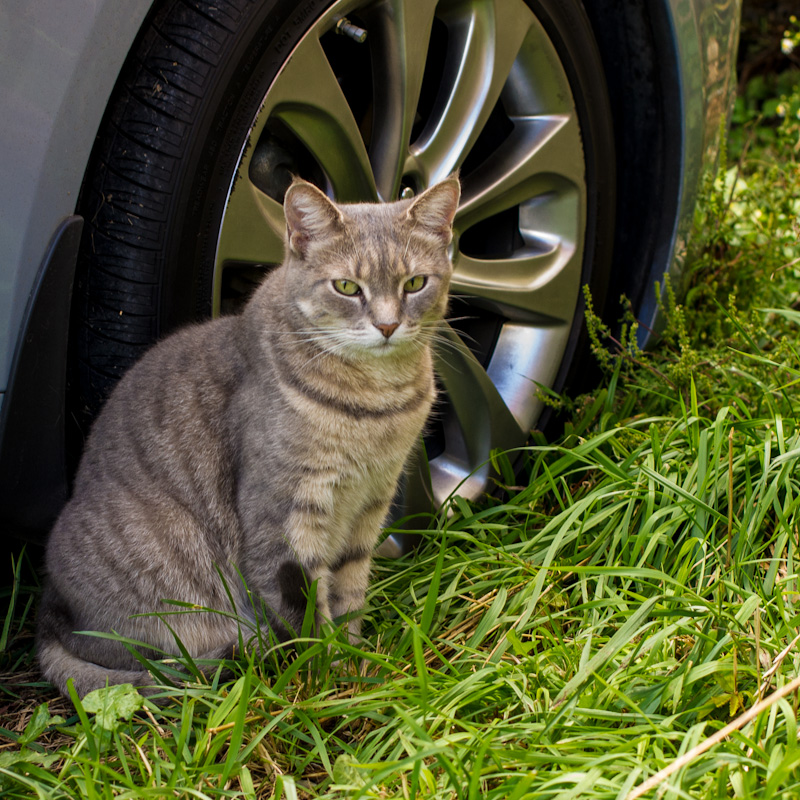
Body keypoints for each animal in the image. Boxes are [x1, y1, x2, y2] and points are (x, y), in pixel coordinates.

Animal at [37, 177, 460, 700]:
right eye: (347, 287)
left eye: (415, 283)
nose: (387, 325)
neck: (376, 405)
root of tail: (48, 614)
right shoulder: (284, 518)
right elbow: (307, 618)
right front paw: (332, 685)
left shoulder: (369, 505)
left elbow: (350, 595)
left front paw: (359, 667)